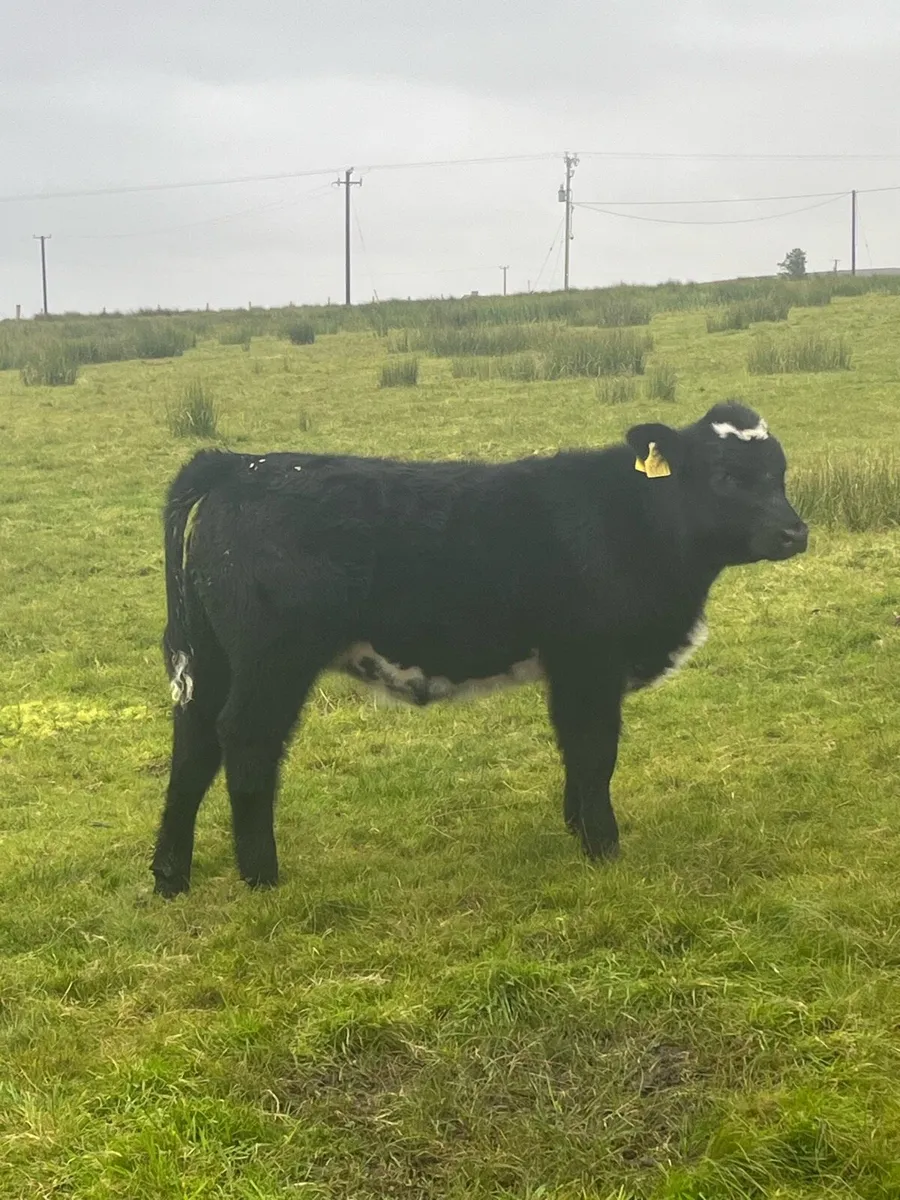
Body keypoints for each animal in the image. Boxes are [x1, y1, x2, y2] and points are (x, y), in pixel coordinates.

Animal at [151, 402, 807, 897]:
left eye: (778, 473)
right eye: (726, 476)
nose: (795, 532)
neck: (627, 517)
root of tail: (240, 466)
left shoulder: (569, 669)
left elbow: (574, 752)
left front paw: (578, 831)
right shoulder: (590, 661)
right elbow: (595, 751)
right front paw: (604, 847)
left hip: (213, 659)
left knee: (194, 747)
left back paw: (169, 877)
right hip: (273, 662)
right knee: (246, 742)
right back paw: (262, 877)